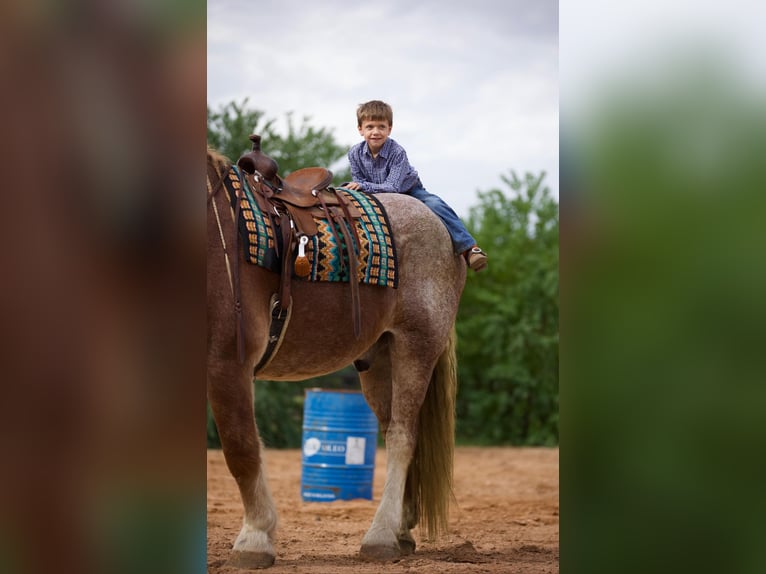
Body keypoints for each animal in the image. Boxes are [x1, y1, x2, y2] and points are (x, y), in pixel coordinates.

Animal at [206, 148, 468, 572]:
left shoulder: (227, 362)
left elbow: (240, 448)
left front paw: (255, 538)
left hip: (416, 346)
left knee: (402, 437)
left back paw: (380, 537)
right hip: (379, 359)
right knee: (393, 430)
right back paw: (401, 530)